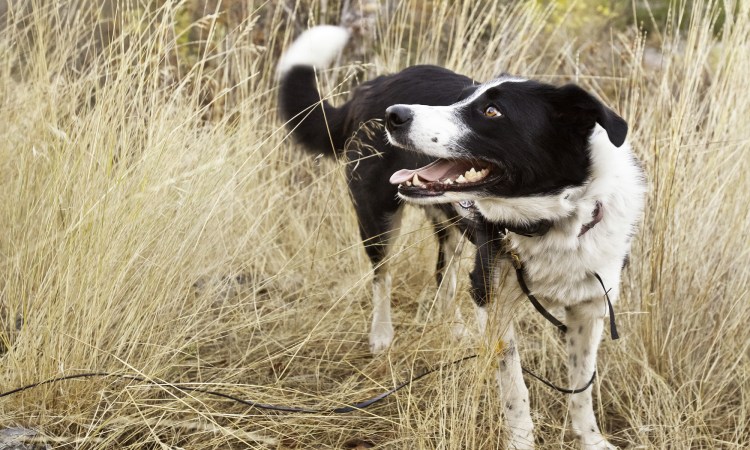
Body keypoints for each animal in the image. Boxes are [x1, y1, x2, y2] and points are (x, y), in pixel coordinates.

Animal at [278, 26, 506, 356]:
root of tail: (374, 86)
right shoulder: (489, 269)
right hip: (376, 216)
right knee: (382, 275)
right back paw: (381, 334)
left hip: (450, 226)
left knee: (444, 277)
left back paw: (453, 328)